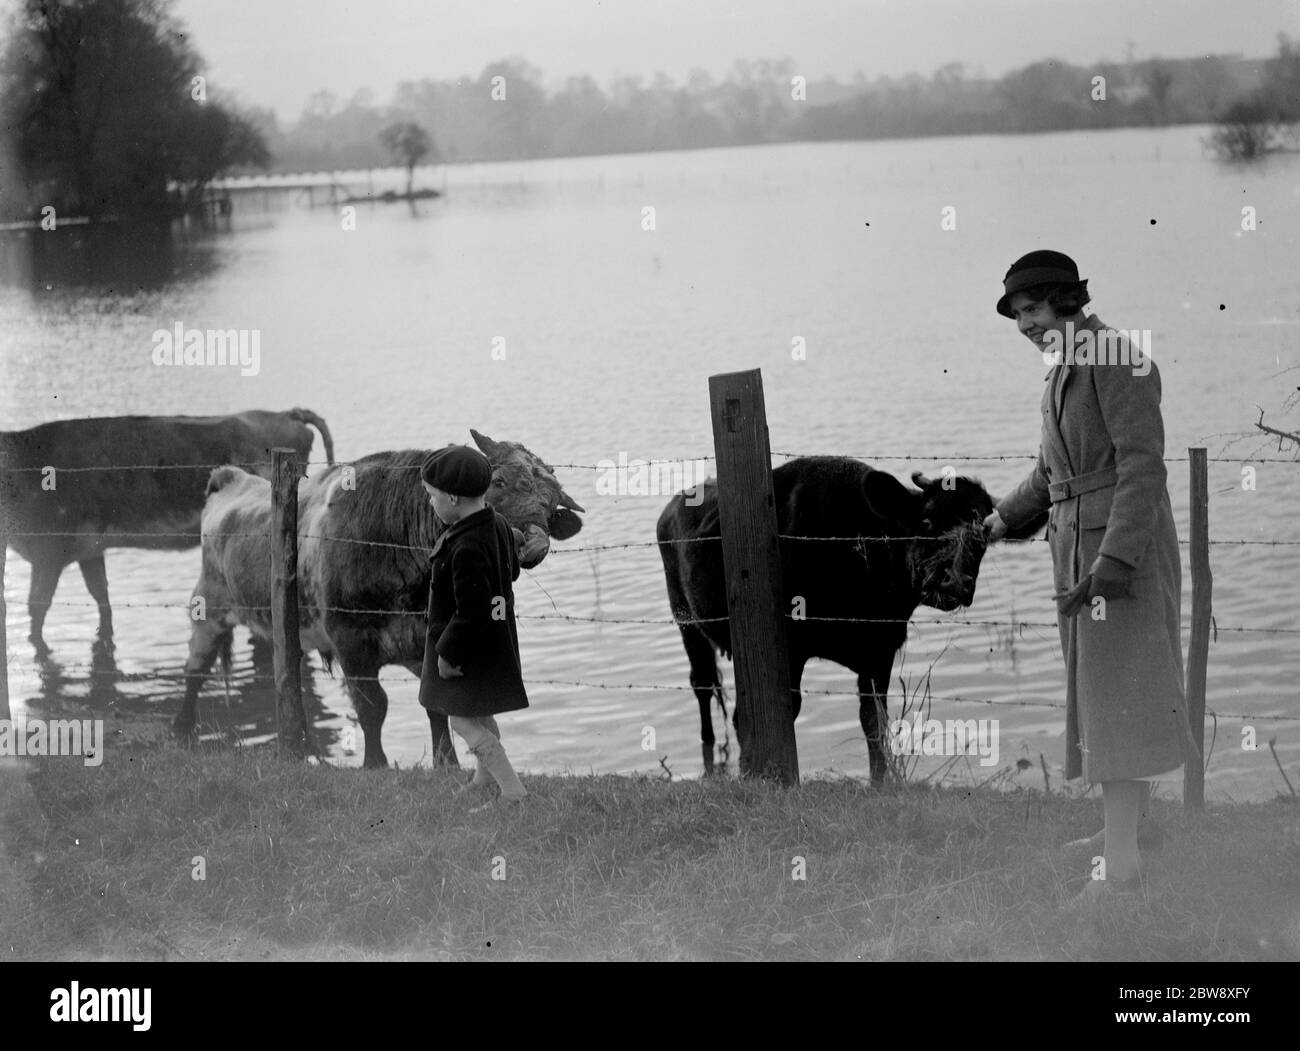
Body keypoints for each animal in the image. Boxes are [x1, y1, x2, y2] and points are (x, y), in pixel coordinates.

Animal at [176, 431, 585, 770]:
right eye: (498, 482)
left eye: (552, 508)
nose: (534, 543)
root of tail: (230, 478)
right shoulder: (350, 640)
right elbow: (372, 705)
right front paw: (375, 763)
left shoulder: (430, 643)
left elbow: (435, 704)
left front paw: (447, 764)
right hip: (209, 608)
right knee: (194, 670)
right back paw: (181, 733)